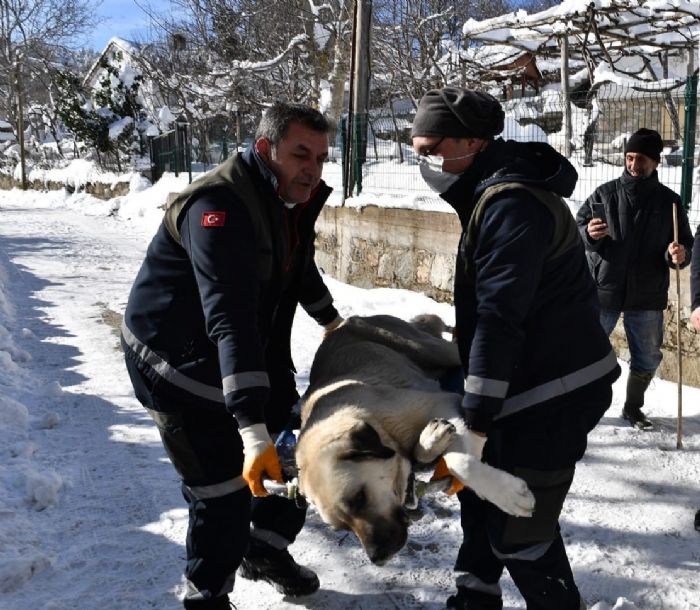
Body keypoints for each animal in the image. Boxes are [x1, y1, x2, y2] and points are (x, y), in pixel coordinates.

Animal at [296, 316, 536, 564]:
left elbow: (458, 462)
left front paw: (507, 494)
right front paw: (431, 441)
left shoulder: (442, 401)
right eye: (341, 527)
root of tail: (344, 324)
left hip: (432, 349)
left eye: (358, 498)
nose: (377, 557)